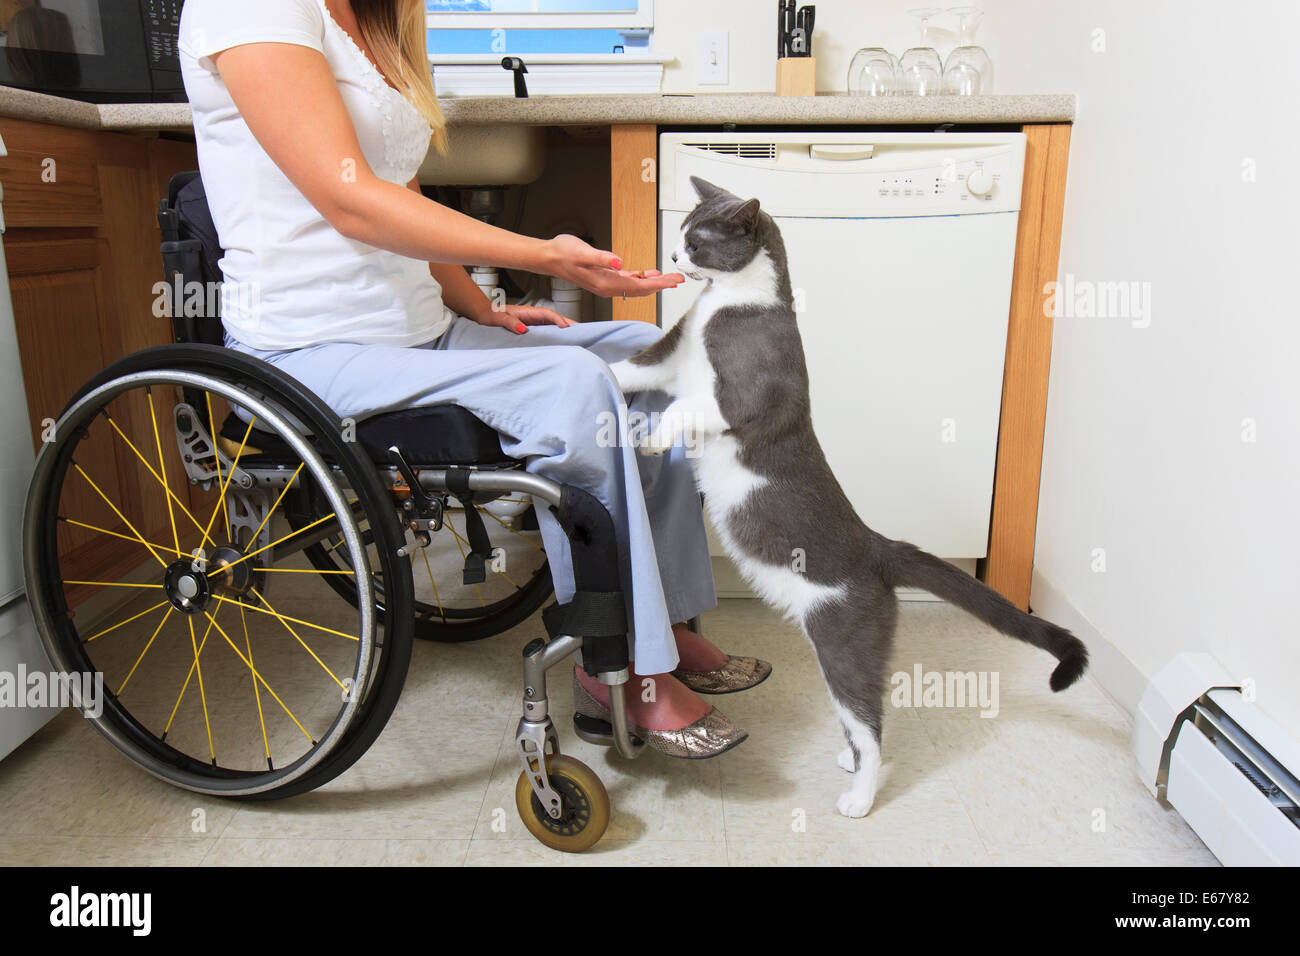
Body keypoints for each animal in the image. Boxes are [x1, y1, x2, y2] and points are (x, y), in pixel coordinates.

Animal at [608, 179, 1086, 822]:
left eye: (697, 240)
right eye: (681, 233)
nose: (674, 256)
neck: (725, 305)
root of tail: (878, 547)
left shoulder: (740, 396)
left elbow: (688, 407)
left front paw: (651, 437)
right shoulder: (670, 356)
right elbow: (632, 371)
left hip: (841, 637)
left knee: (869, 721)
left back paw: (860, 795)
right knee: (858, 722)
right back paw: (847, 763)